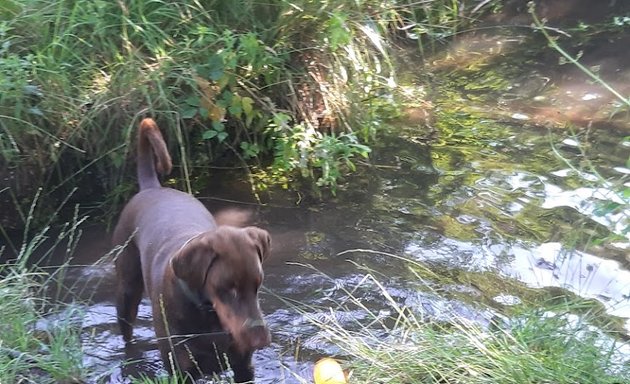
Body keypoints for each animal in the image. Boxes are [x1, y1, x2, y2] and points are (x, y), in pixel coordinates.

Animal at [113, 118, 272, 382]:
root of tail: (151, 187)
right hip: (127, 290)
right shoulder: (180, 369)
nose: (261, 340)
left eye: (257, 285)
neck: (206, 312)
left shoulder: (243, 366)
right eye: (228, 288)